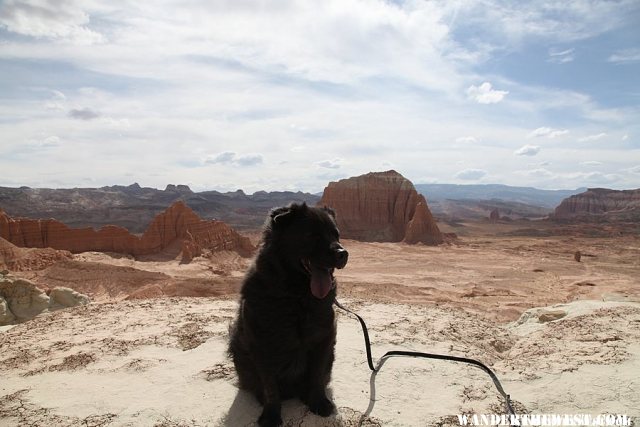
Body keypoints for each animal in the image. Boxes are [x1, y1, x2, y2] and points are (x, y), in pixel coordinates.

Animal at [230, 204, 348, 427]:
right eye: (312, 235)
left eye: (336, 235)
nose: (343, 253)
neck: (297, 298)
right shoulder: (261, 344)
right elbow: (270, 387)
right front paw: (271, 416)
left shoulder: (323, 339)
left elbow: (317, 375)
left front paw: (318, 402)